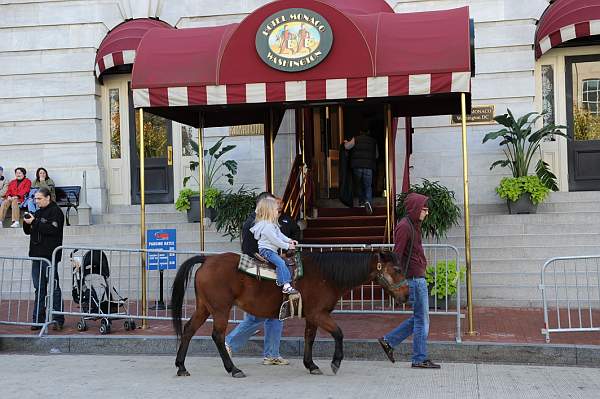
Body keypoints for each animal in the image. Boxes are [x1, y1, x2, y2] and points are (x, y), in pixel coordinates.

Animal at [171, 250, 410, 378]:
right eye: (397, 269)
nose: (407, 295)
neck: (326, 275)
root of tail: (207, 259)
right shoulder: (319, 314)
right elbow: (339, 333)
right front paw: (335, 362)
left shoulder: (313, 316)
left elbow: (309, 338)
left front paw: (311, 365)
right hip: (220, 309)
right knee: (218, 336)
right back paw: (233, 368)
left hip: (204, 307)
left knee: (189, 330)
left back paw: (181, 366)